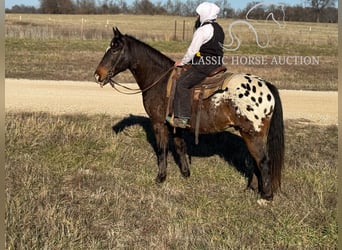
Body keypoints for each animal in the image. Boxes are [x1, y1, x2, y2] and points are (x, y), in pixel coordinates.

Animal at [93, 27, 284, 202]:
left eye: (114, 49)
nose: (97, 75)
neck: (160, 80)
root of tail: (266, 85)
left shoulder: (159, 123)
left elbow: (162, 149)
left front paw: (160, 177)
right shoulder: (175, 125)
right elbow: (180, 146)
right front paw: (185, 173)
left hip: (252, 134)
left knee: (263, 161)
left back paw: (265, 196)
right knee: (256, 161)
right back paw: (253, 188)